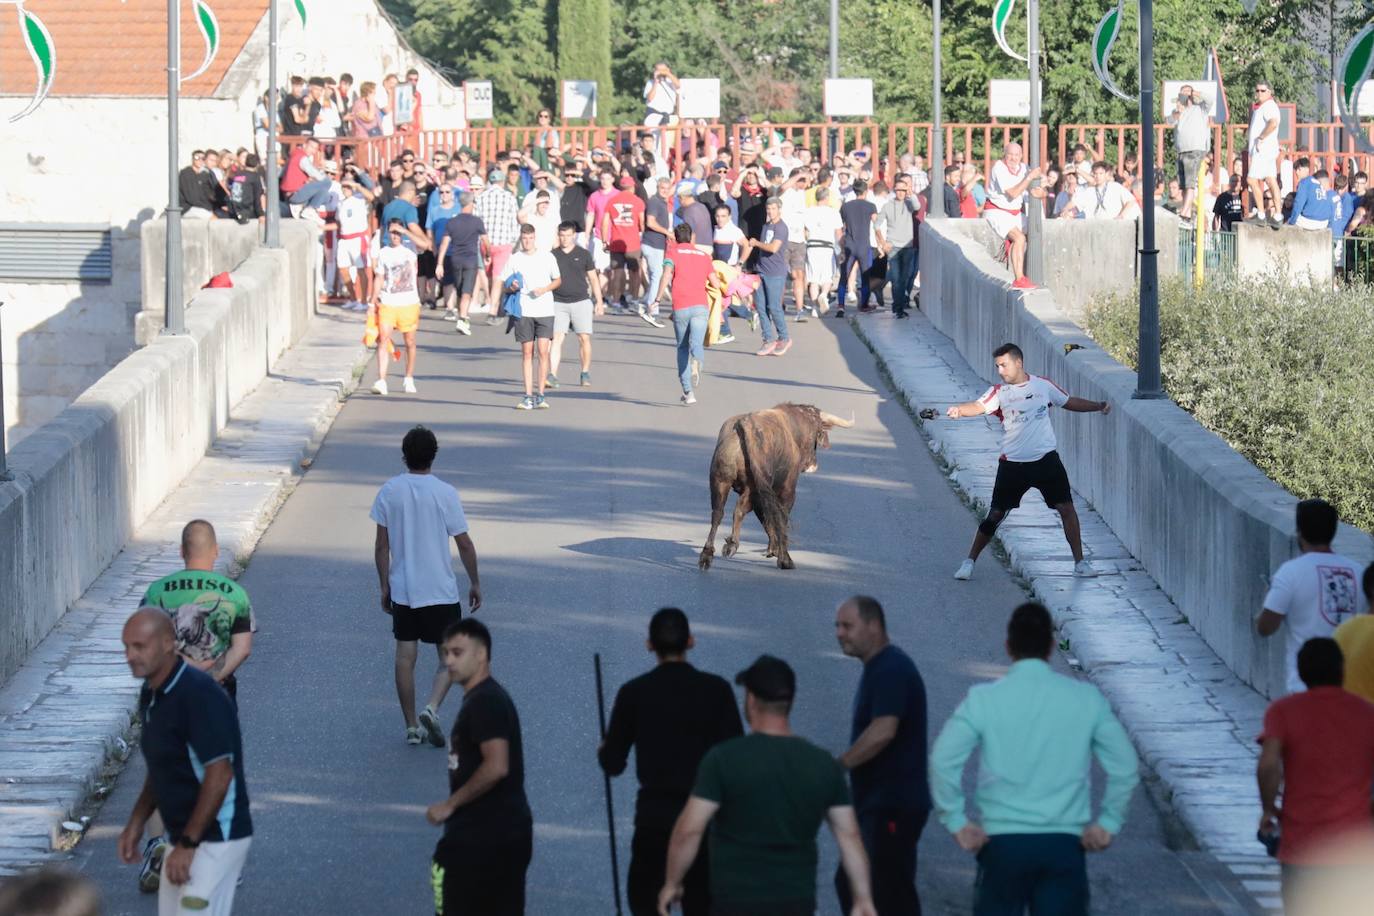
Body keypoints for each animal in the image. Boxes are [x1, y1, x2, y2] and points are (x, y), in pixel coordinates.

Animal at [703, 403, 851, 568]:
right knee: (741, 510)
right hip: (755, 489)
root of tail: (744, 424)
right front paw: (779, 554)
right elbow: (780, 518)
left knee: (718, 513)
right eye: (816, 433)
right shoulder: (787, 490)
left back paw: (707, 554)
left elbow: (767, 520)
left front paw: (772, 549)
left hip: (720, 481)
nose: (813, 465)